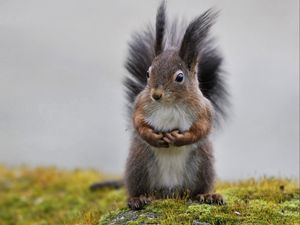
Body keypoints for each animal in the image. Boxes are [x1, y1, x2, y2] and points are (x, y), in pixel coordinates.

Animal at [90, 0, 229, 210]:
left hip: (203, 164)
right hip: (139, 163)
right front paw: (152, 136)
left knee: (197, 190)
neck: (169, 104)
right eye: (148, 73)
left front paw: (180, 138)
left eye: (179, 77)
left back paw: (207, 196)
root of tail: (170, 191)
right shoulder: (141, 104)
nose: (156, 95)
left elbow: (202, 128)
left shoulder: (203, 110)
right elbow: (138, 122)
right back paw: (138, 199)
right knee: (138, 188)